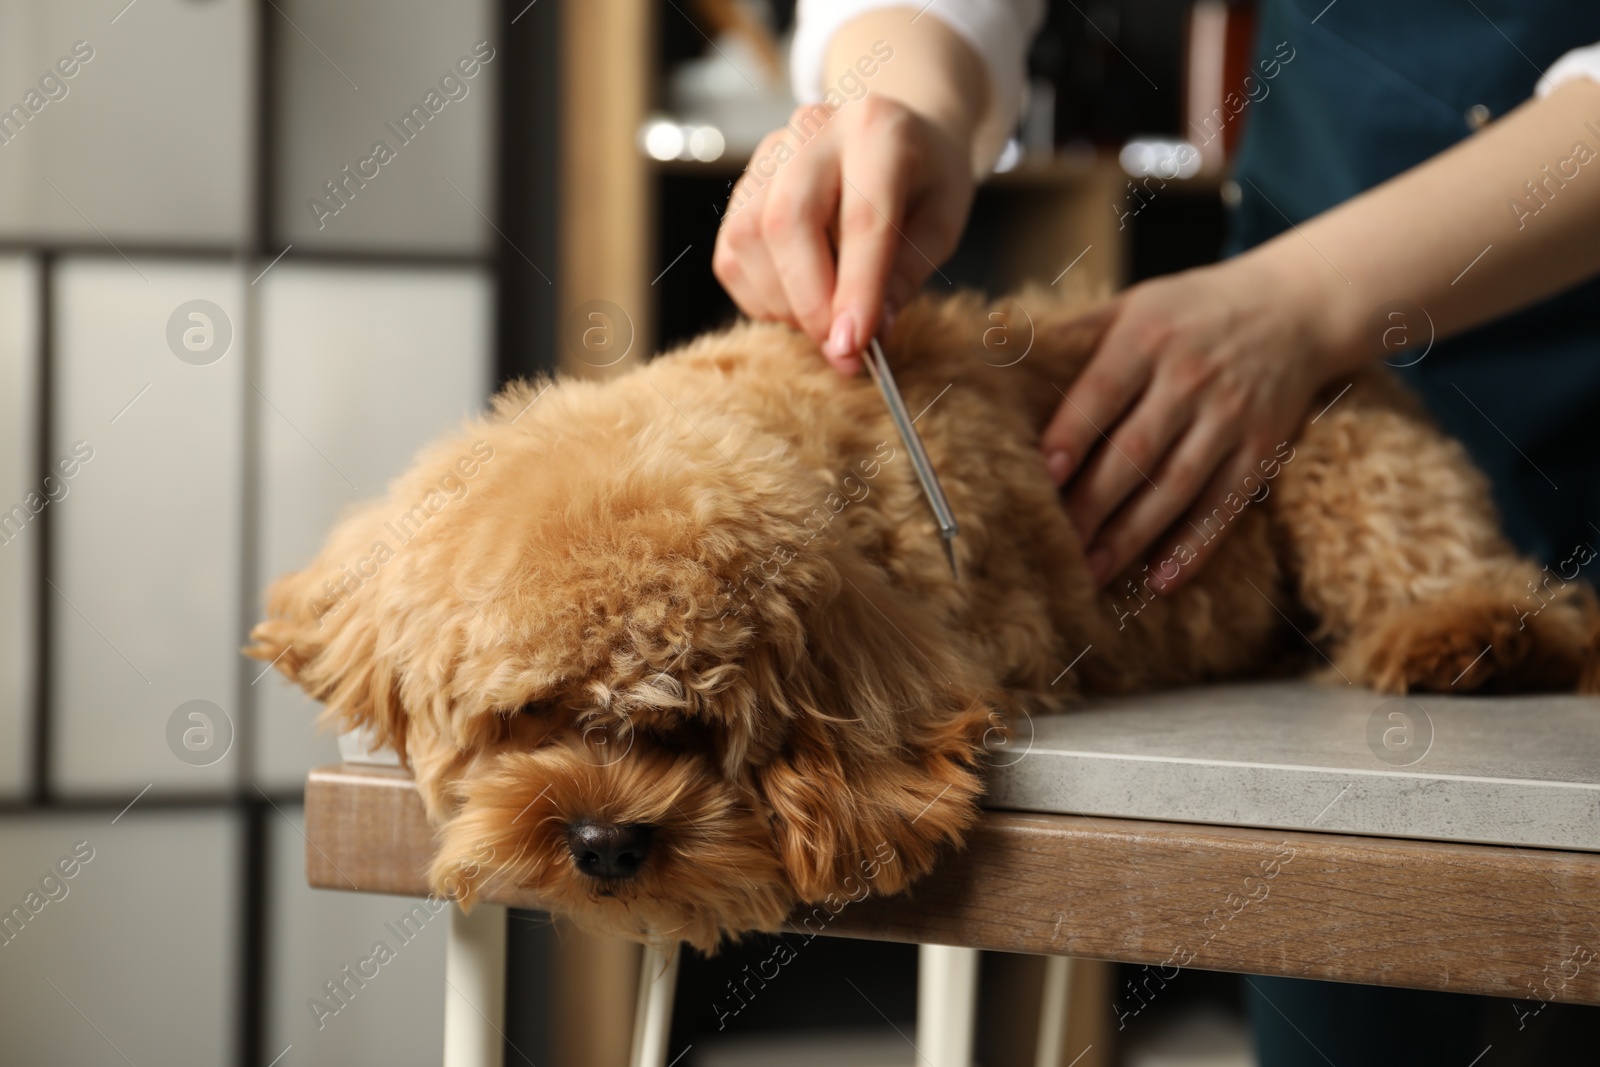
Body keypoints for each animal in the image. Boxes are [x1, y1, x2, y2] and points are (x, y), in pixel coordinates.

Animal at [249, 287, 1600, 947]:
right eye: (527, 710)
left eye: (693, 727)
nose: (606, 844)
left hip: (1349, 464)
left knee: (1487, 586)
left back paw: (1469, 638)